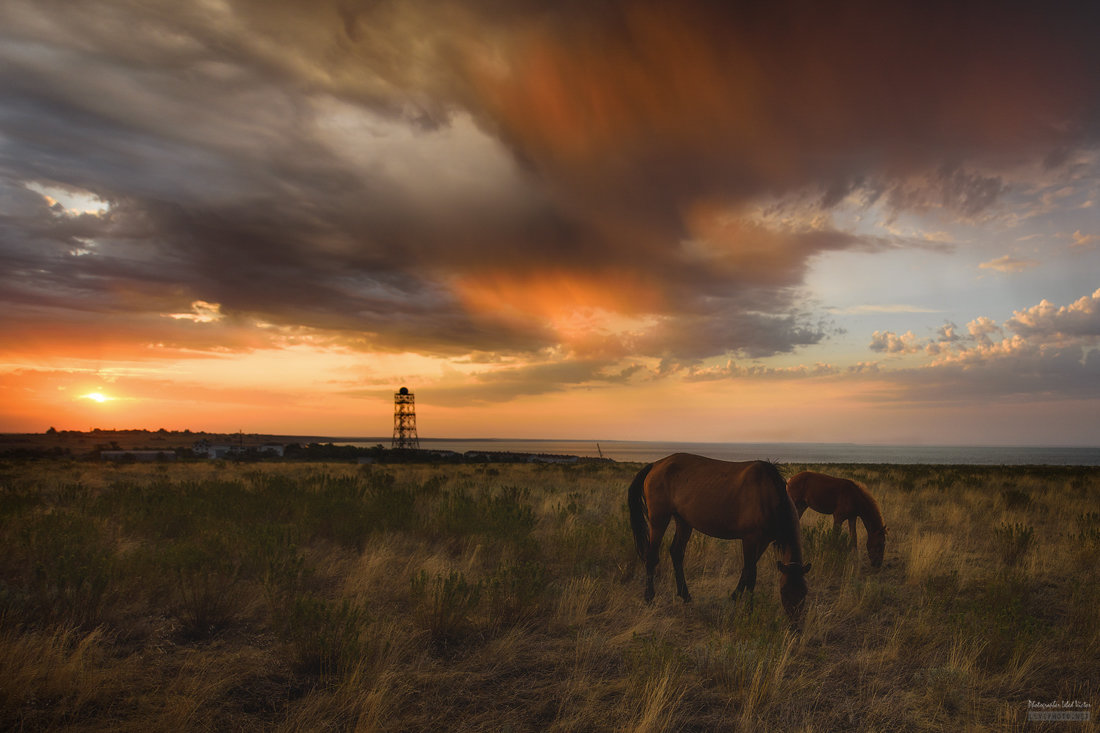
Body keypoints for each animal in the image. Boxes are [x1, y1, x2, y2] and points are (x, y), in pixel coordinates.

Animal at [629, 453, 809, 625]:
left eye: (805, 592)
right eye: (783, 591)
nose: (796, 627)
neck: (768, 495)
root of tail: (656, 465)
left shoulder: (763, 541)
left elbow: (746, 570)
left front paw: (735, 597)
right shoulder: (750, 539)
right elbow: (751, 573)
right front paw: (748, 611)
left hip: (683, 521)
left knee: (676, 553)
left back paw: (685, 595)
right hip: (659, 519)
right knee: (652, 557)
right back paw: (649, 598)